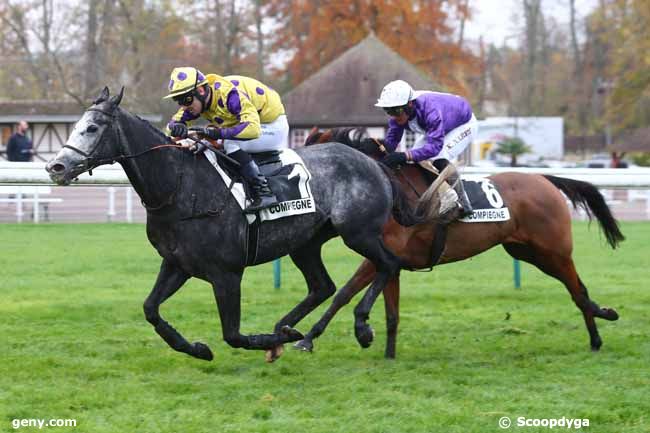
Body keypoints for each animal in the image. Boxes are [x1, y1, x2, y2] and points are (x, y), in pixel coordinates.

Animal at [45, 88, 426, 362]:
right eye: (77, 125)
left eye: (92, 128)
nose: (56, 167)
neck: (181, 187)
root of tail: (374, 162)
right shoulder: (178, 264)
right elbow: (151, 309)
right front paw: (198, 348)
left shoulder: (226, 273)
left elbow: (233, 335)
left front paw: (270, 342)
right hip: (306, 243)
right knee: (323, 286)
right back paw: (289, 327)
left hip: (358, 233)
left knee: (388, 264)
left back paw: (360, 327)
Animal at [292, 126, 620, 356]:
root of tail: (544, 179)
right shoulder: (389, 262)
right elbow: (384, 311)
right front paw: (384, 353)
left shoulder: (380, 258)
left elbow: (344, 294)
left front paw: (314, 337)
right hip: (527, 252)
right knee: (578, 289)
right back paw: (599, 321)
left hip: (554, 252)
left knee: (578, 291)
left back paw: (598, 330)